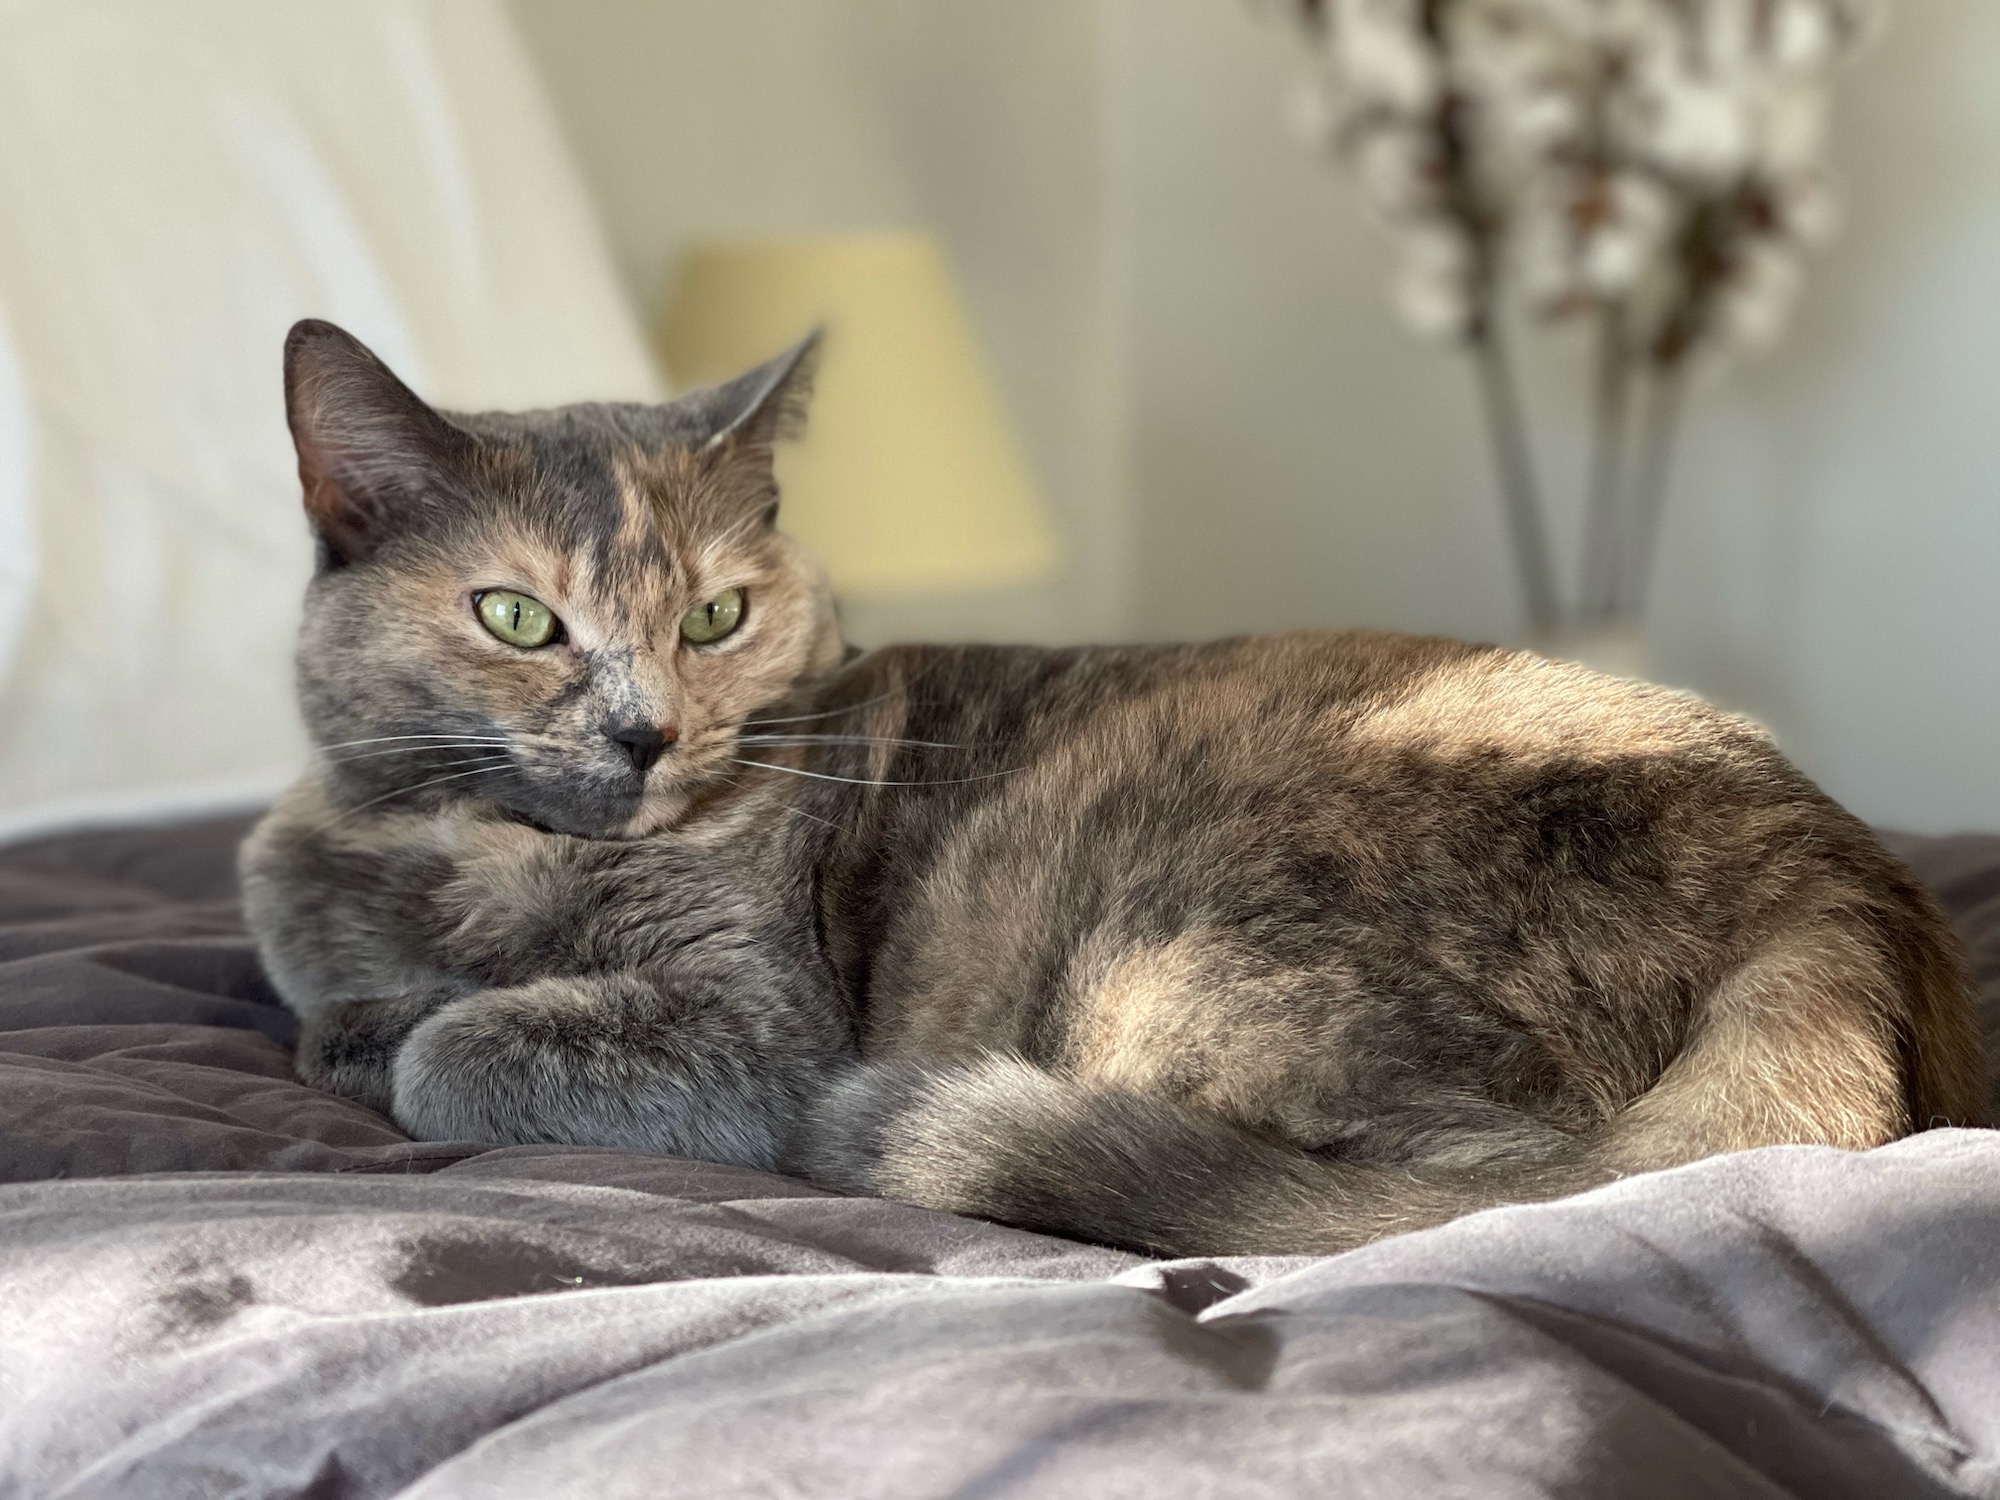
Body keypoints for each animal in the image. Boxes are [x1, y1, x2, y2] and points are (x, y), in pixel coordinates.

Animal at [242, 324, 1992, 1264]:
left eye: (716, 615)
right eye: (518, 617)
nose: (647, 732)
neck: (470, 864)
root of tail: (1836, 876)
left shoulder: (760, 1032)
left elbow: (458, 1048)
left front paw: (394, 1034)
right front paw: (360, 1011)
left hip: (1185, 962)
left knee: (1475, 1191)